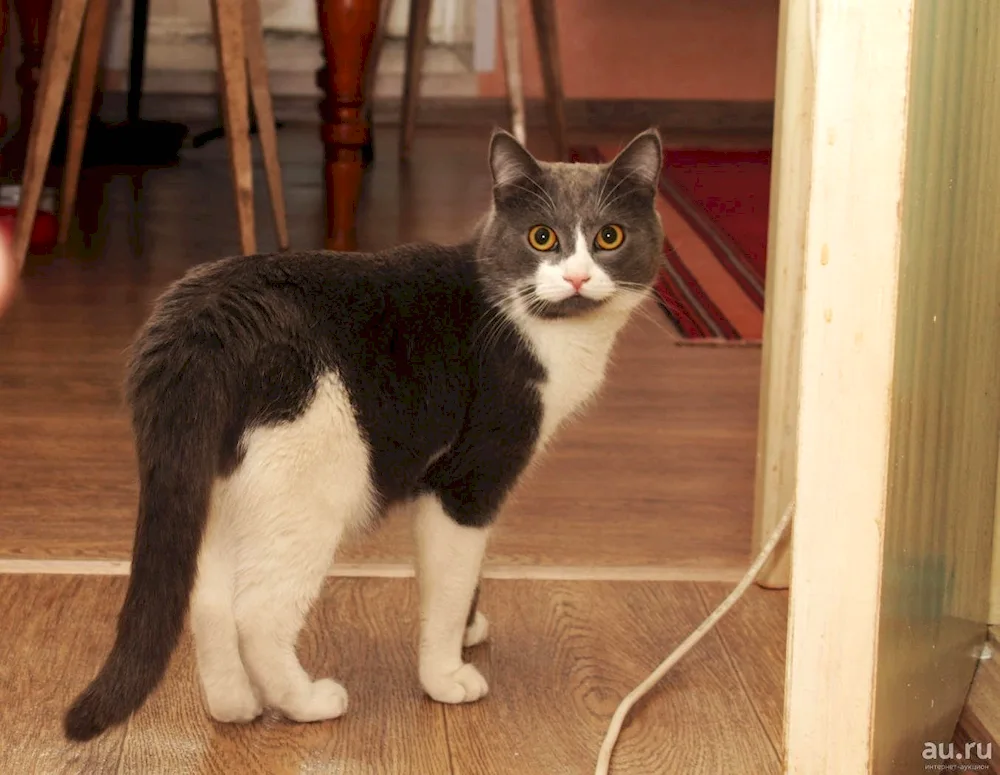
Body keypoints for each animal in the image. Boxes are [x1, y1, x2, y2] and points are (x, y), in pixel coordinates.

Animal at [62, 126, 664, 740]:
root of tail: (202, 320)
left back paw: (234, 706)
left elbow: (467, 574)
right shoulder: (468, 479)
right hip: (312, 483)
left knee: (207, 598)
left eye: (609, 237)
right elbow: (450, 583)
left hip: (230, 487)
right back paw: (307, 702)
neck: (537, 328)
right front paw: (447, 675)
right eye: (542, 238)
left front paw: (469, 630)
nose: (577, 277)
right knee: (256, 612)